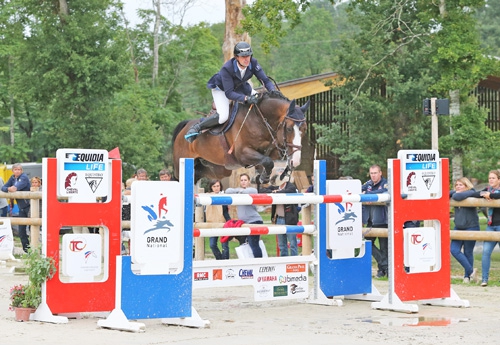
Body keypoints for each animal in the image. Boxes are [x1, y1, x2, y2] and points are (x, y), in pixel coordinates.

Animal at [172, 90, 308, 184]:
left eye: (305, 129)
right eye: (289, 129)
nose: (296, 161)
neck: (259, 119)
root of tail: (185, 126)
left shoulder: (272, 149)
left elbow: (273, 159)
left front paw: (282, 174)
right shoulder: (242, 154)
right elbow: (268, 161)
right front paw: (264, 177)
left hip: (217, 169)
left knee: (198, 175)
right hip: (181, 165)